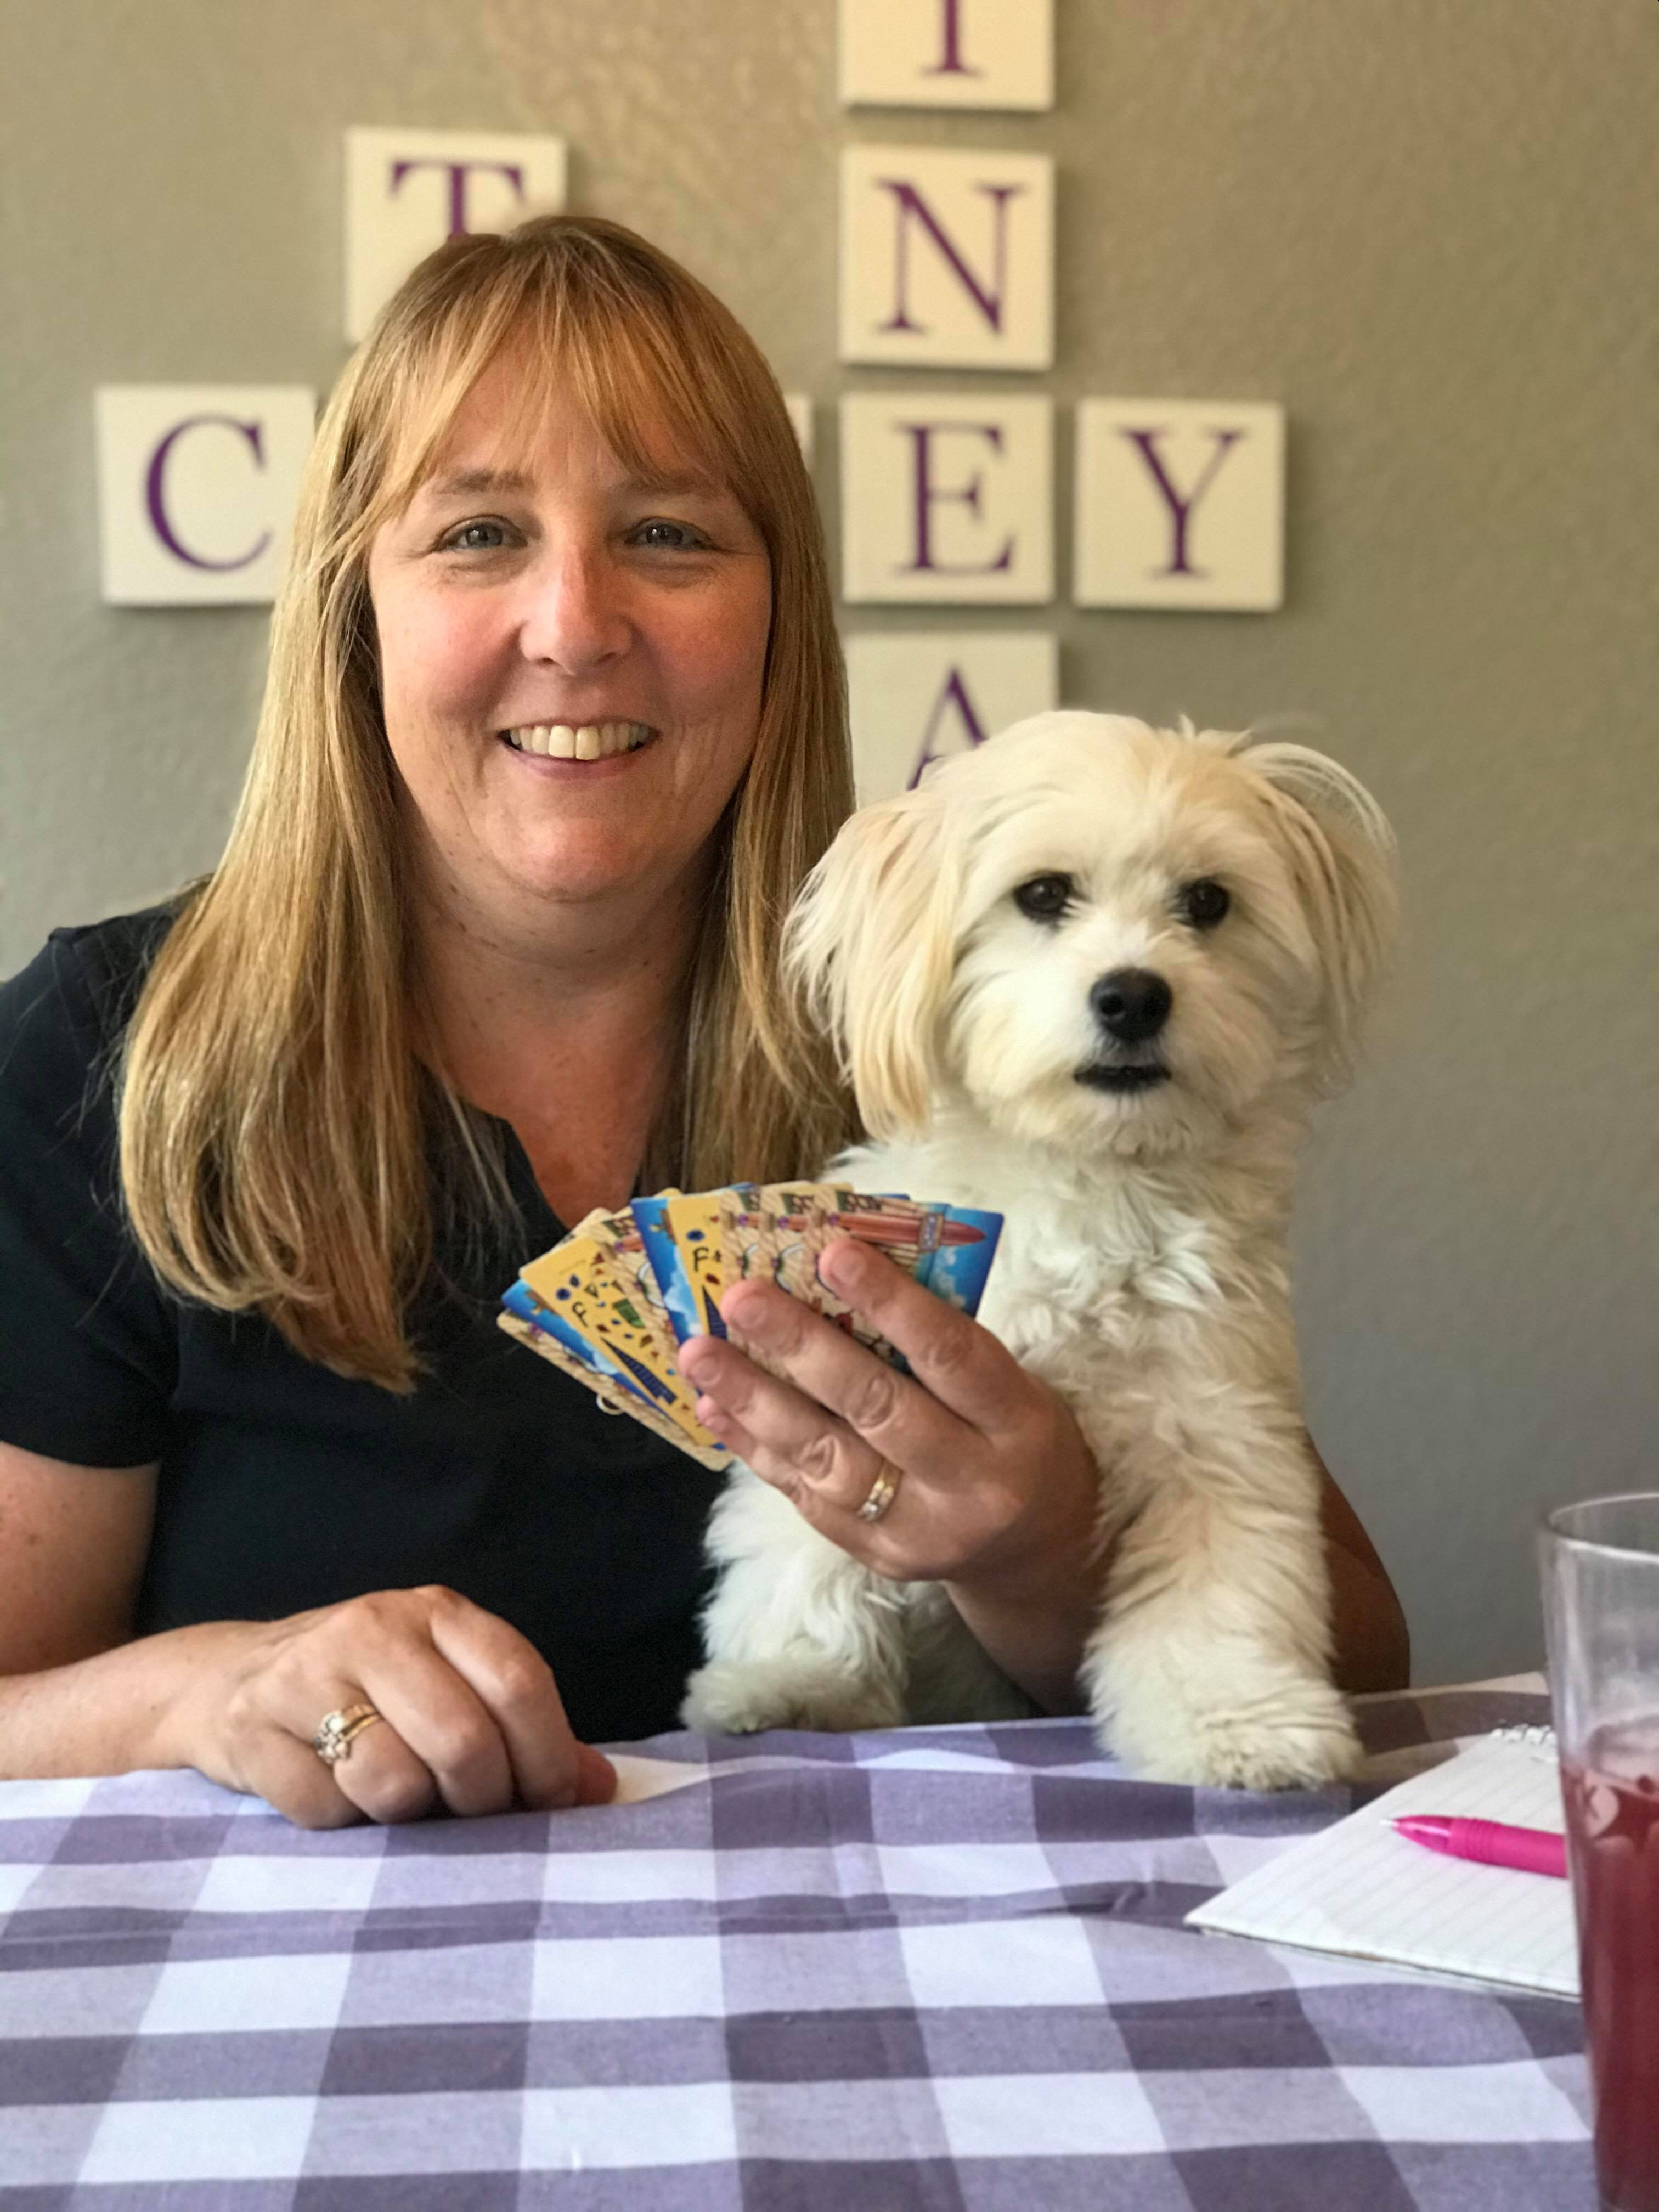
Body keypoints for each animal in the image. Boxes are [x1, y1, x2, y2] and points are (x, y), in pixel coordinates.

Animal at [682, 711, 1398, 1789]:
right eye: (1042, 894)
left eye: (1207, 901)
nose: (1132, 996)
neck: (1090, 1182)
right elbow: (799, 1549)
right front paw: (795, 1677)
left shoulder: (1217, 1429)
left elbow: (1222, 1589)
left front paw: (1237, 1718)